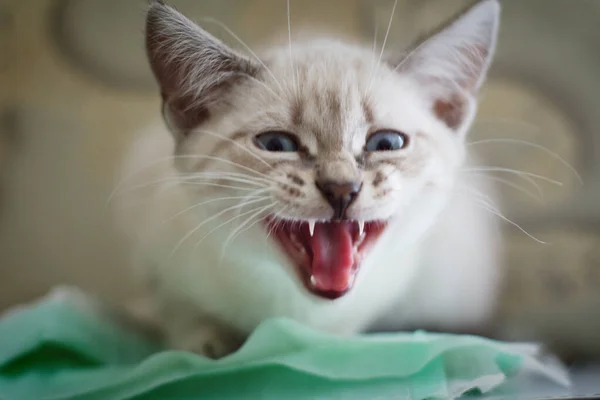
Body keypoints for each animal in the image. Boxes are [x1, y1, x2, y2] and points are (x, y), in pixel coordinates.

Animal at [112, 0, 502, 356]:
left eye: (386, 143)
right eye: (276, 144)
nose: (341, 189)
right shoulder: (152, 242)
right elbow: (178, 311)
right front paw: (209, 344)